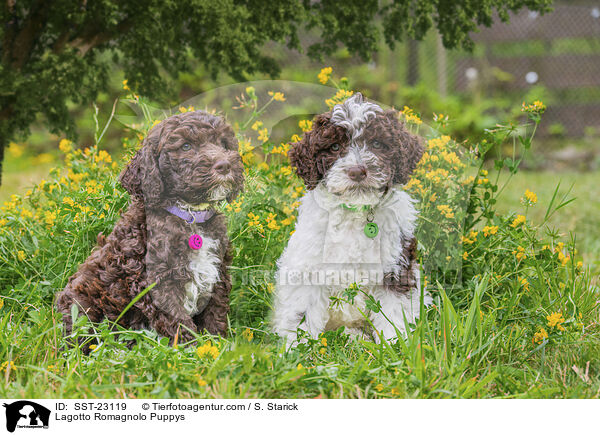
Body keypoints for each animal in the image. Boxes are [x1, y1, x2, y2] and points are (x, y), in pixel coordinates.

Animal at [55, 111, 243, 348]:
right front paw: (193, 351)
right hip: (81, 308)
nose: (224, 165)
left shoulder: (217, 274)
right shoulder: (155, 282)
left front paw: (216, 346)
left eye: (223, 143)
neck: (190, 216)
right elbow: (178, 323)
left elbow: (214, 315)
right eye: (186, 146)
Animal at [272, 94, 432, 344]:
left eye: (377, 144)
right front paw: (299, 347)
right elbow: (302, 314)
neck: (356, 212)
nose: (357, 171)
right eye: (335, 147)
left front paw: (395, 344)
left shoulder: (396, 268)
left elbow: (394, 312)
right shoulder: (308, 270)